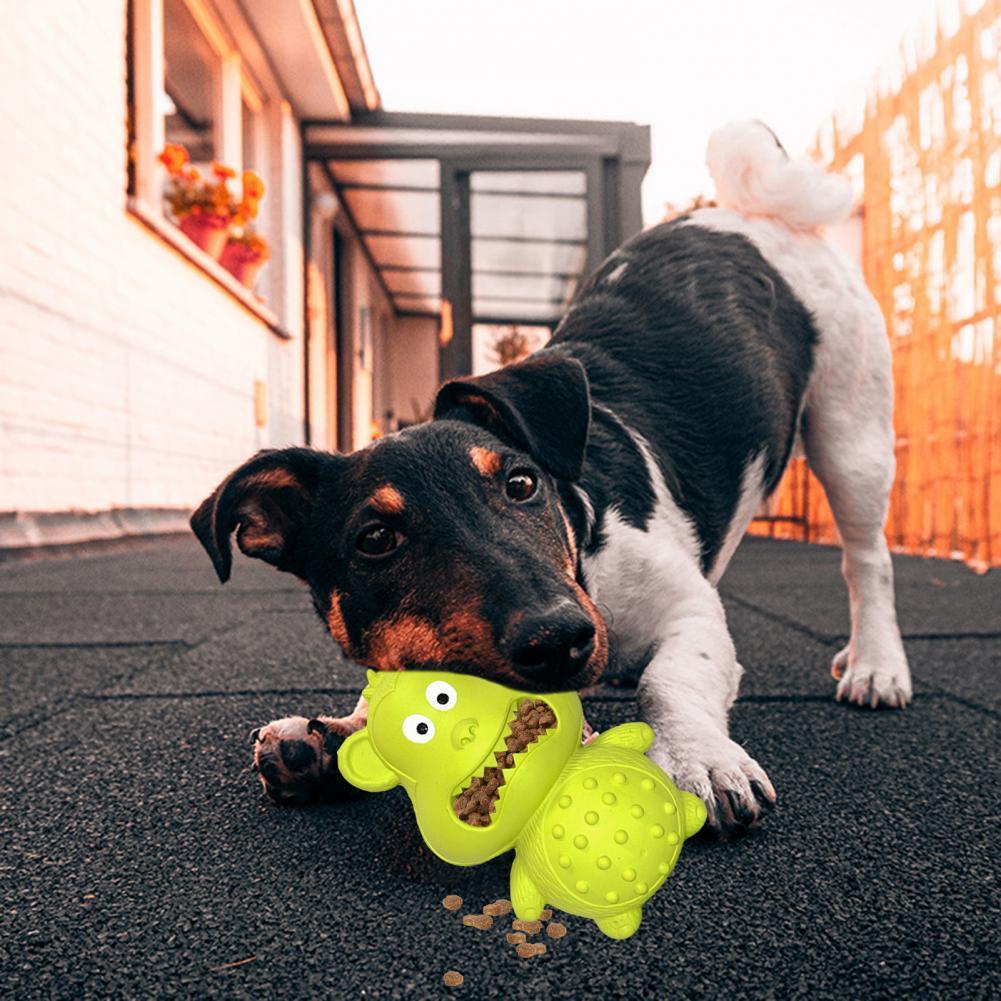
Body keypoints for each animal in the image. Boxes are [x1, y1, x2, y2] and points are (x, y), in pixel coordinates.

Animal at [191, 121, 912, 832]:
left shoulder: (688, 610)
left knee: (867, 562)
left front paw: (697, 757)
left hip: (852, 437)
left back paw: (874, 664)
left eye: (520, 485)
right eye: (374, 539)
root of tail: (752, 214)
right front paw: (332, 738)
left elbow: (673, 679)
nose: (561, 637)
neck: (581, 547)